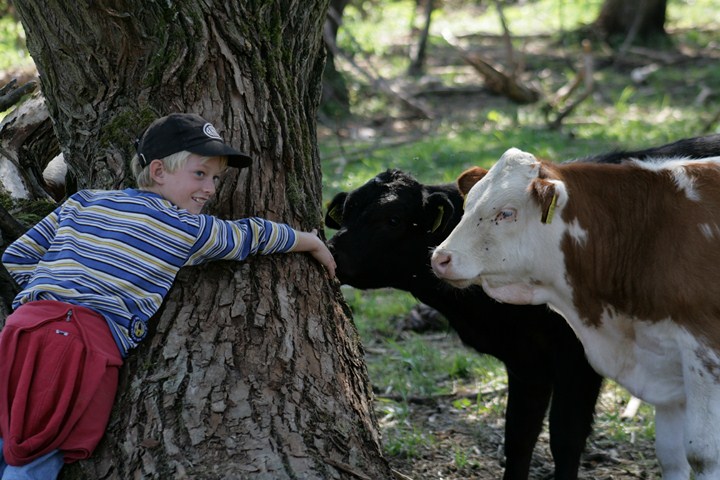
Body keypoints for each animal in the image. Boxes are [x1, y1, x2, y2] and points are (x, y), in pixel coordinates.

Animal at [430, 148, 720, 480]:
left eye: (506, 213)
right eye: (468, 205)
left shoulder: (703, 351)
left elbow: (702, 454)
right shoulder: (662, 361)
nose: (440, 257)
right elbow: (671, 455)